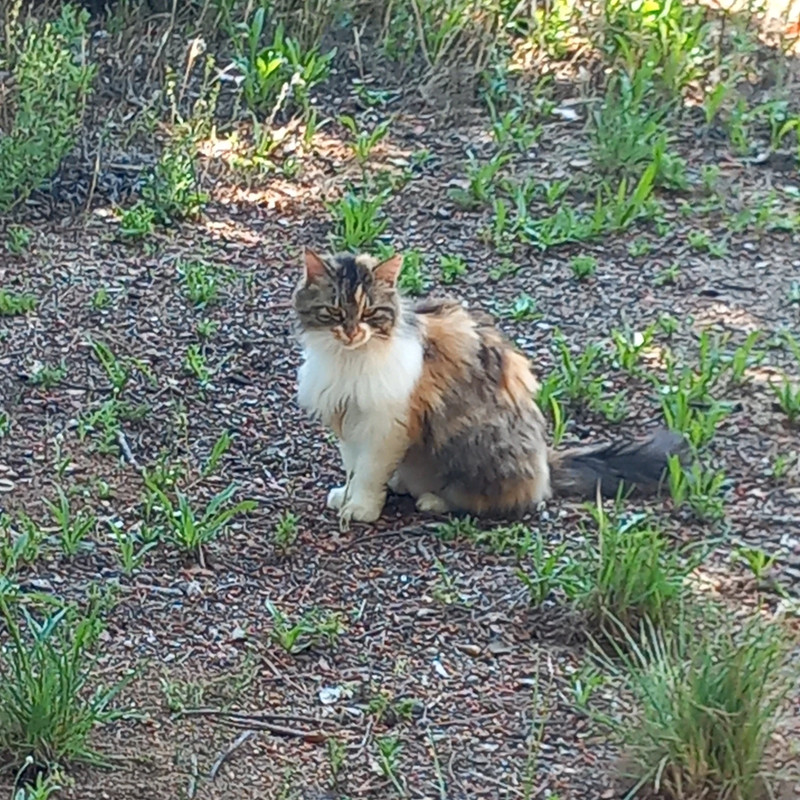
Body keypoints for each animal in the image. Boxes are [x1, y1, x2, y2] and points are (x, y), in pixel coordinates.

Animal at [294, 247, 688, 528]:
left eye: (369, 313)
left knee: (496, 501)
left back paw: (433, 499)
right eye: (334, 312)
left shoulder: (386, 425)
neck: (347, 360)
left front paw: (360, 507)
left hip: (471, 443)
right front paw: (346, 496)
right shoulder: (348, 419)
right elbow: (352, 465)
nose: (351, 332)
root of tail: (544, 463)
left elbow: (368, 471)